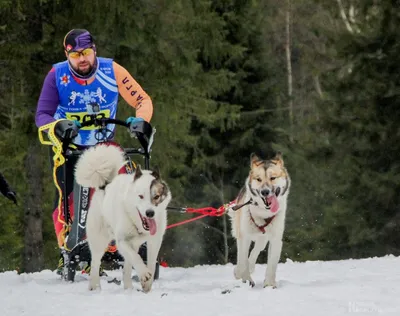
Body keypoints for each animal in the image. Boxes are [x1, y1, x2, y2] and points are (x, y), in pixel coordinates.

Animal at [74, 143, 171, 292]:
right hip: (99, 240)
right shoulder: (122, 241)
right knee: (95, 263)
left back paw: (128, 287)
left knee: (127, 266)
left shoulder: (154, 241)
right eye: (140, 196)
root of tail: (104, 185)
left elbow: (150, 263)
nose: (150, 213)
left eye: (156, 196)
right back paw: (95, 287)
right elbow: (136, 258)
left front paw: (147, 284)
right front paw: (144, 273)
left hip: (133, 243)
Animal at [228, 153, 290, 288]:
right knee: (242, 257)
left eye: (273, 178)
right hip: (241, 233)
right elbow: (243, 260)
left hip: (263, 238)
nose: (265, 192)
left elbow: (272, 264)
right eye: (258, 179)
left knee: (256, 249)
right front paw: (246, 279)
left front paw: (269, 285)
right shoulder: (245, 237)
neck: (263, 213)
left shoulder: (276, 239)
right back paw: (240, 272)